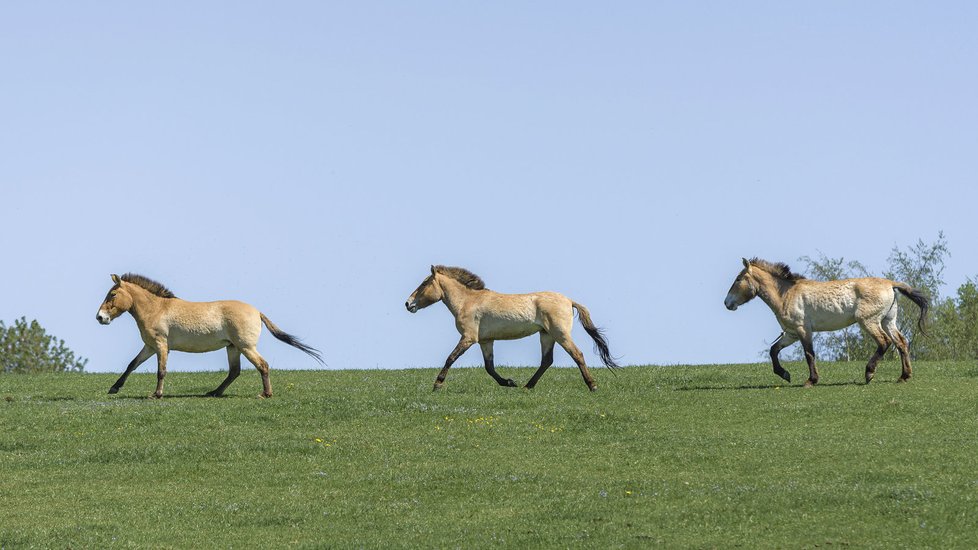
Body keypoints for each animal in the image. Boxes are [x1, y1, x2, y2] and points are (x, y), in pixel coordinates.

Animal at [97, 274, 322, 398]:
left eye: (113, 294)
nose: (100, 317)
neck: (157, 309)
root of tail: (257, 311)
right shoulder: (150, 347)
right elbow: (131, 365)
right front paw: (114, 388)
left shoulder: (161, 346)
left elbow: (161, 371)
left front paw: (157, 394)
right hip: (233, 347)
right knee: (234, 372)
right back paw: (215, 392)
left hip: (246, 347)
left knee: (262, 365)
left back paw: (265, 394)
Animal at [404, 266, 616, 392]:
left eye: (424, 283)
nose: (408, 303)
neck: (468, 301)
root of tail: (569, 300)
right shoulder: (485, 341)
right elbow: (489, 367)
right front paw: (509, 382)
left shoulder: (468, 338)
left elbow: (451, 358)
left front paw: (437, 384)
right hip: (546, 335)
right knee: (546, 361)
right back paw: (527, 386)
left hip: (560, 334)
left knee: (577, 354)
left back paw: (592, 386)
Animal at [720, 258, 928, 388]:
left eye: (738, 279)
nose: (727, 303)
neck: (786, 294)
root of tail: (891, 284)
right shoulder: (791, 333)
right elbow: (773, 351)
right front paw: (784, 374)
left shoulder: (803, 330)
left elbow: (809, 354)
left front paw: (811, 381)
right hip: (887, 321)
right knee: (901, 343)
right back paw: (904, 376)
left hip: (869, 322)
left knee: (884, 342)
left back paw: (869, 373)